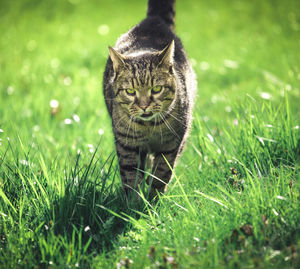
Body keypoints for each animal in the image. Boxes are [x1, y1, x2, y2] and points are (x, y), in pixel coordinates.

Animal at [103, 0, 197, 197]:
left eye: (156, 89)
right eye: (130, 91)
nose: (144, 106)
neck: (149, 127)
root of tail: (153, 20)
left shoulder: (172, 143)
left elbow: (162, 173)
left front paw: (154, 200)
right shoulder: (127, 145)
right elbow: (131, 178)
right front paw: (134, 203)